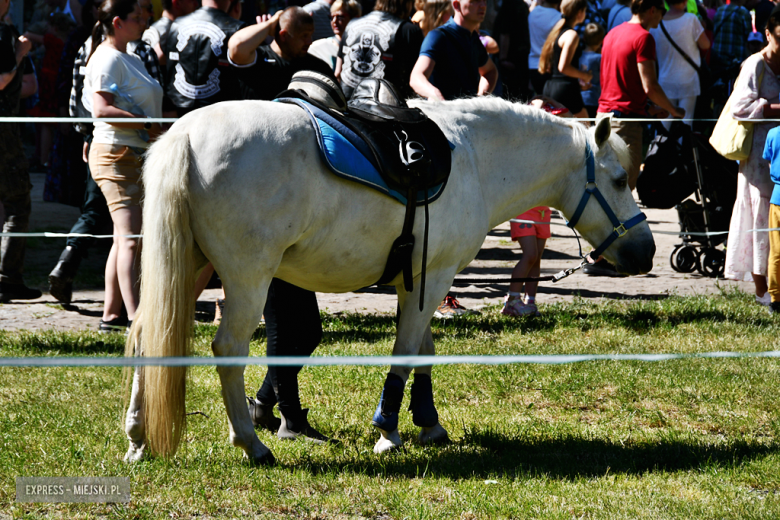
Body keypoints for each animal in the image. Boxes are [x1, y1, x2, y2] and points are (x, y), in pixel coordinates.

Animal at [125, 95, 656, 466]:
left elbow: (424, 350)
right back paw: (252, 444)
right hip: (246, 278)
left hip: (191, 267)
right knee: (228, 349)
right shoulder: (434, 276)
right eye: (617, 180)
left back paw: (137, 438)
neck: (475, 160)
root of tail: (185, 134)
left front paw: (428, 424)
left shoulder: (416, 279)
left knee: (146, 334)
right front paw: (388, 431)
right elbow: (405, 352)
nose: (646, 251)